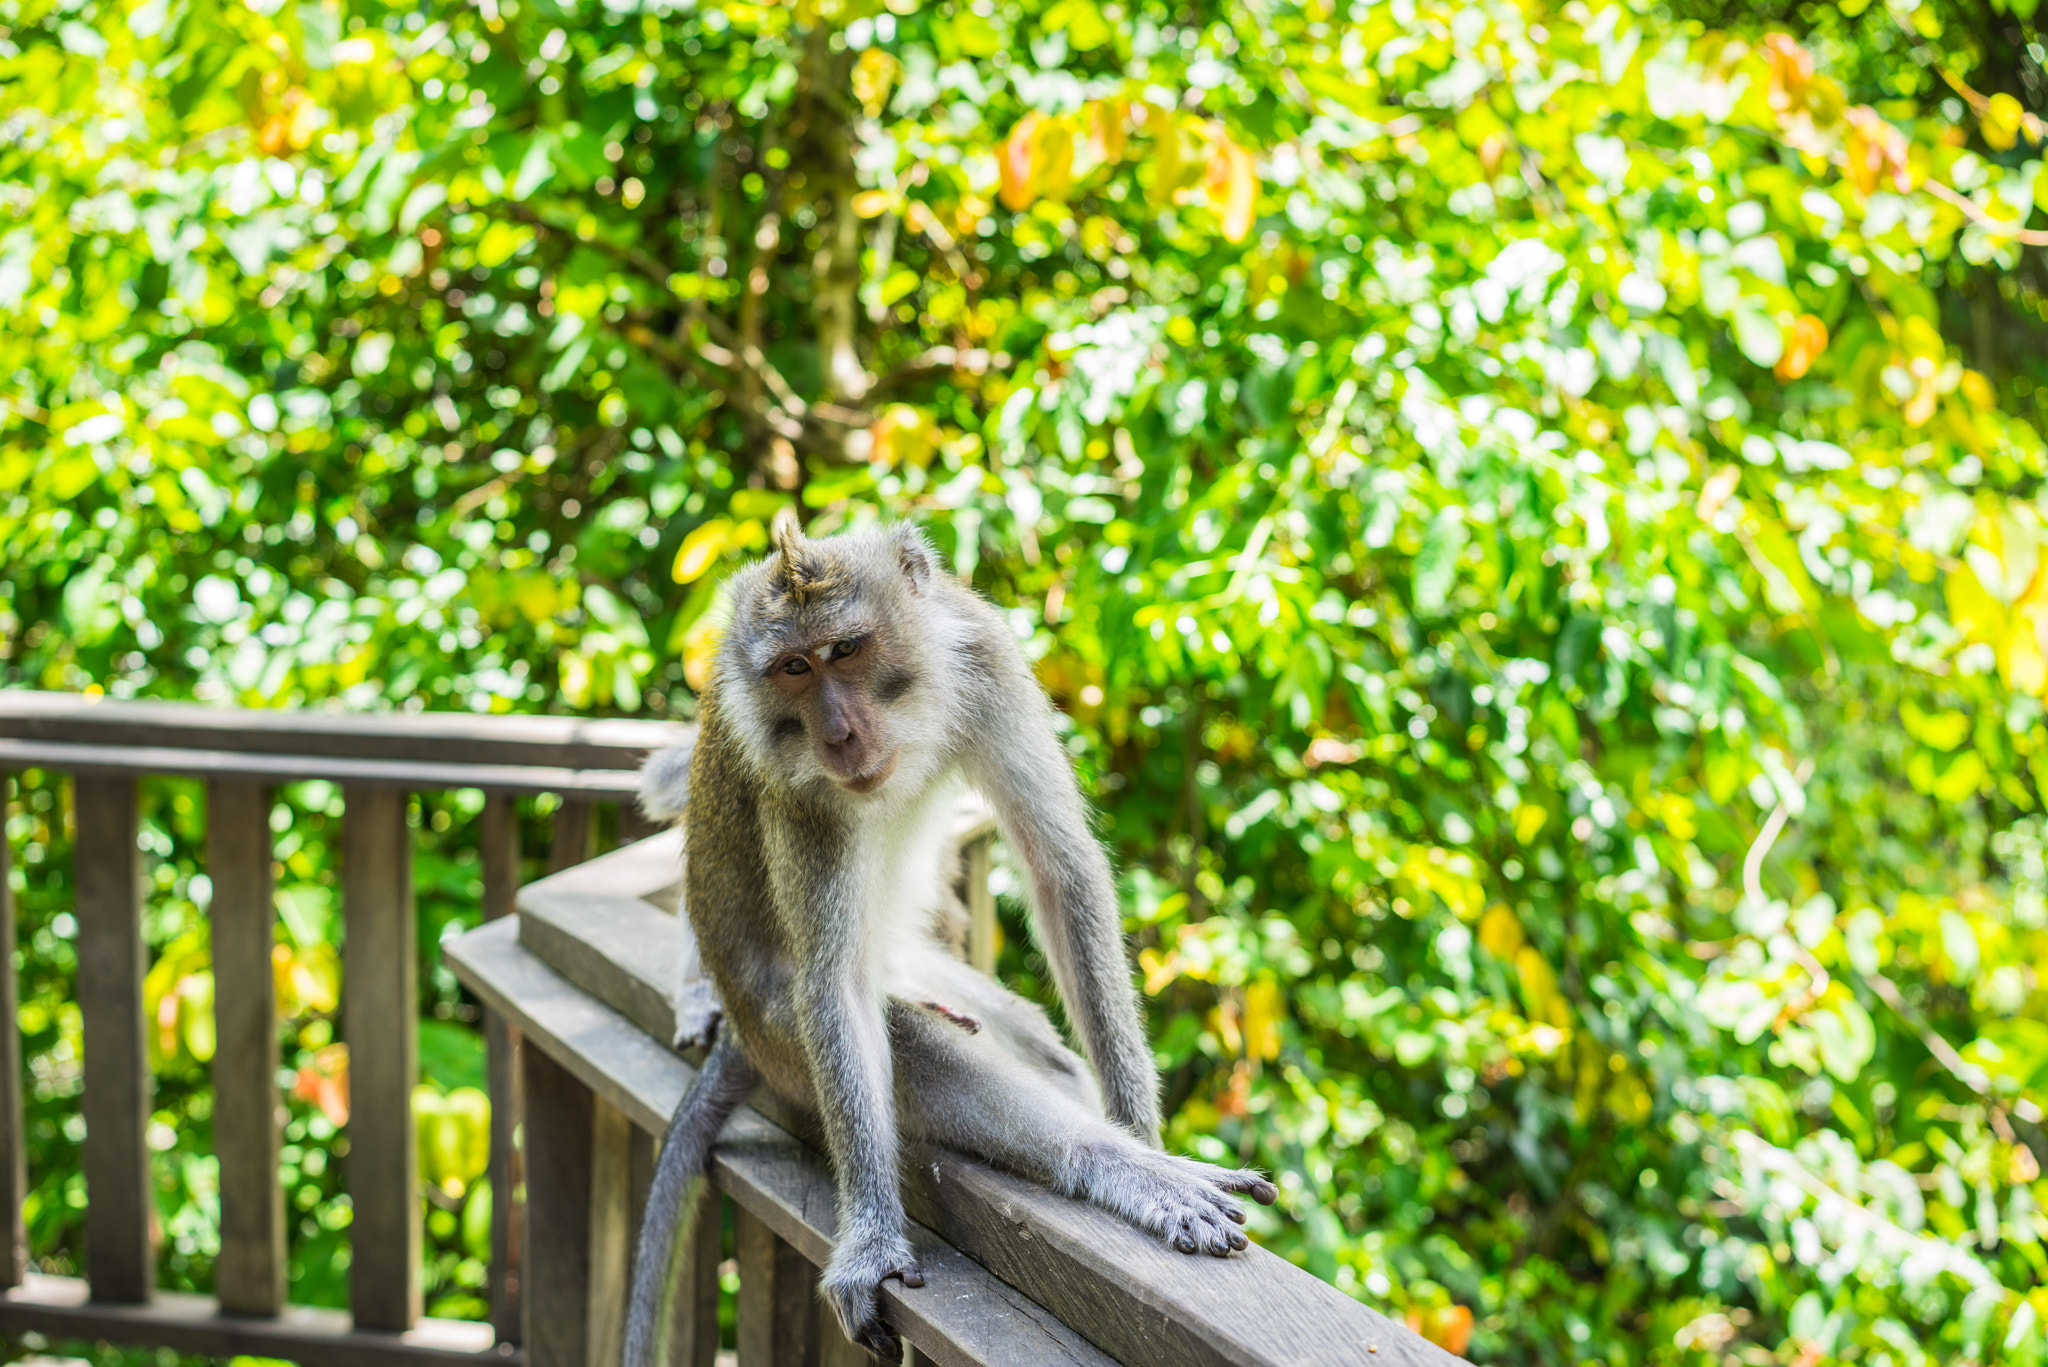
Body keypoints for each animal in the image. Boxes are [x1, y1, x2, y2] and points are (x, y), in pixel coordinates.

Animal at [624, 522, 1277, 1365]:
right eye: (794, 668)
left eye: (846, 649)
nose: (836, 733)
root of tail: (741, 1035)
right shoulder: (794, 783)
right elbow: (836, 985)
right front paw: (872, 1238)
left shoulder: (983, 656)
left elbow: (1060, 870)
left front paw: (1138, 1119)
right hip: (779, 1037)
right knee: (905, 1042)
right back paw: (1119, 1168)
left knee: (1031, 1046)